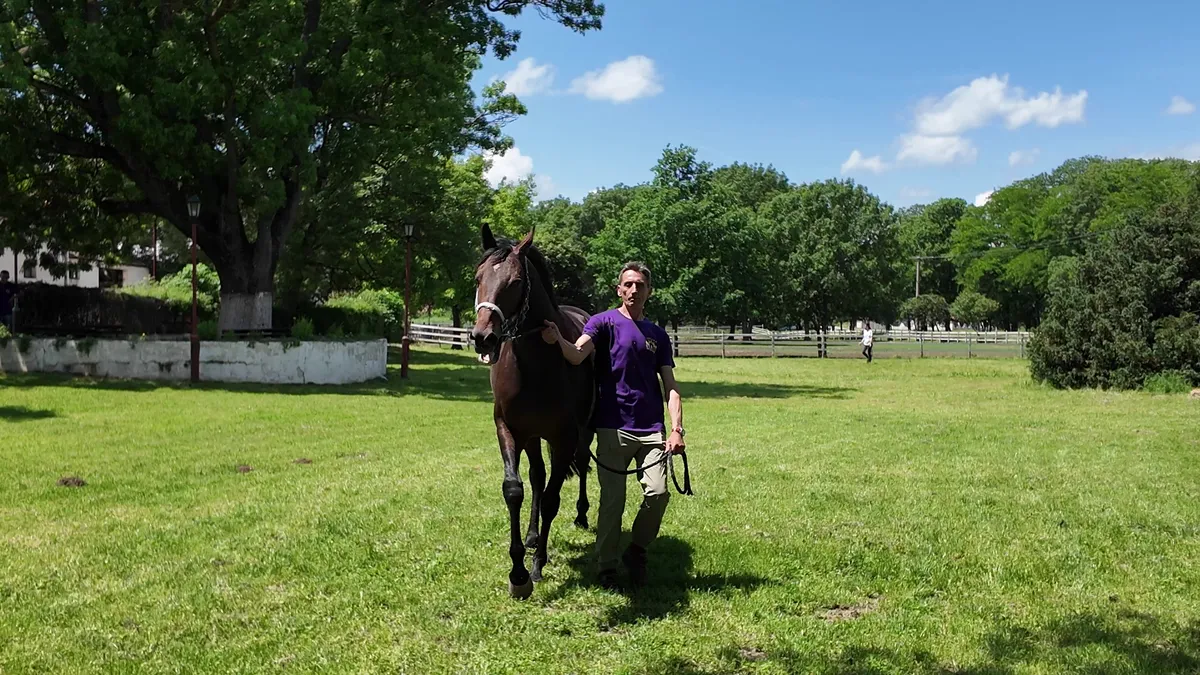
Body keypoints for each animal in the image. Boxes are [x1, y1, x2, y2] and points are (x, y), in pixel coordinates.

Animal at [470, 224, 596, 599]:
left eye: (514, 282)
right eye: (478, 277)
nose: (482, 337)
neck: (536, 362)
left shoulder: (564, 436)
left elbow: (553, 497)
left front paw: (537, 565)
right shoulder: (510, 429)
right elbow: (515, 490)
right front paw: (518, 571)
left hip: (581, 434)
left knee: (581, 466)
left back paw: (581, 515)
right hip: (533, 437)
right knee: (538, 478)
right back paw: (531, 535)